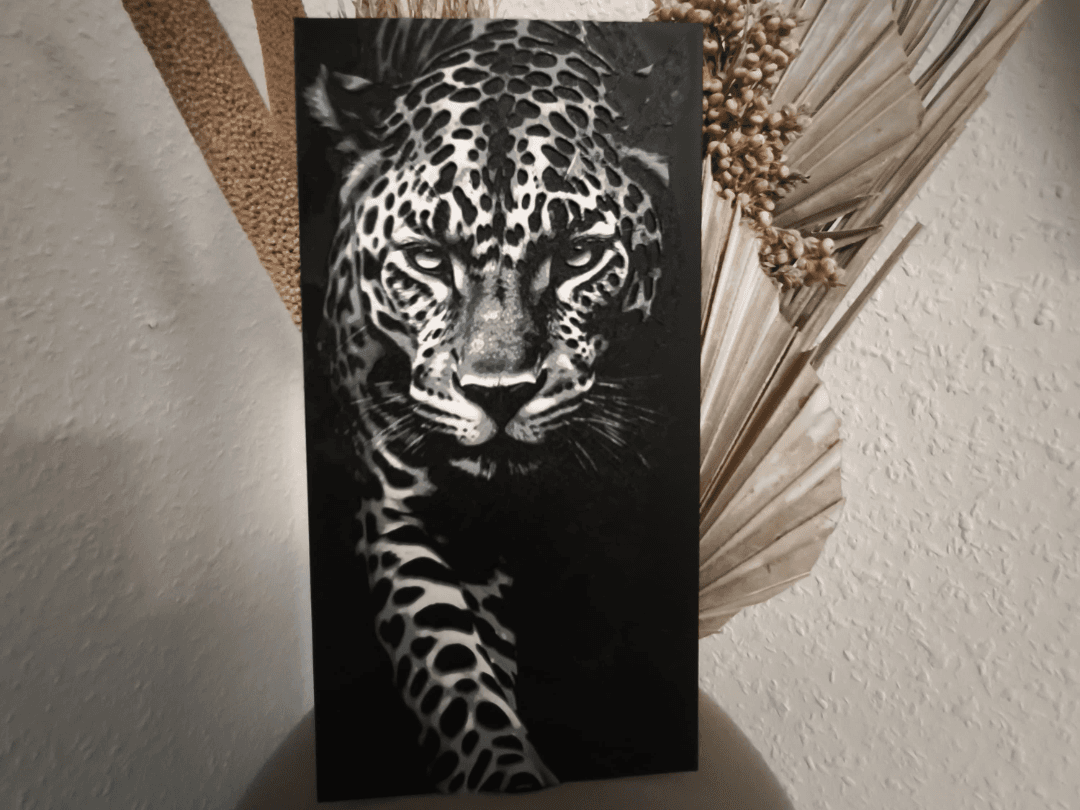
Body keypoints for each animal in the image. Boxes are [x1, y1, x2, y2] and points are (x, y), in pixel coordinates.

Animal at [305, 18, 668, 794]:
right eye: (428, 258)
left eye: (577, 255)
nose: (498, 395)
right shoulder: (401, 511)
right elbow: (453, 672)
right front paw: (508, 772)